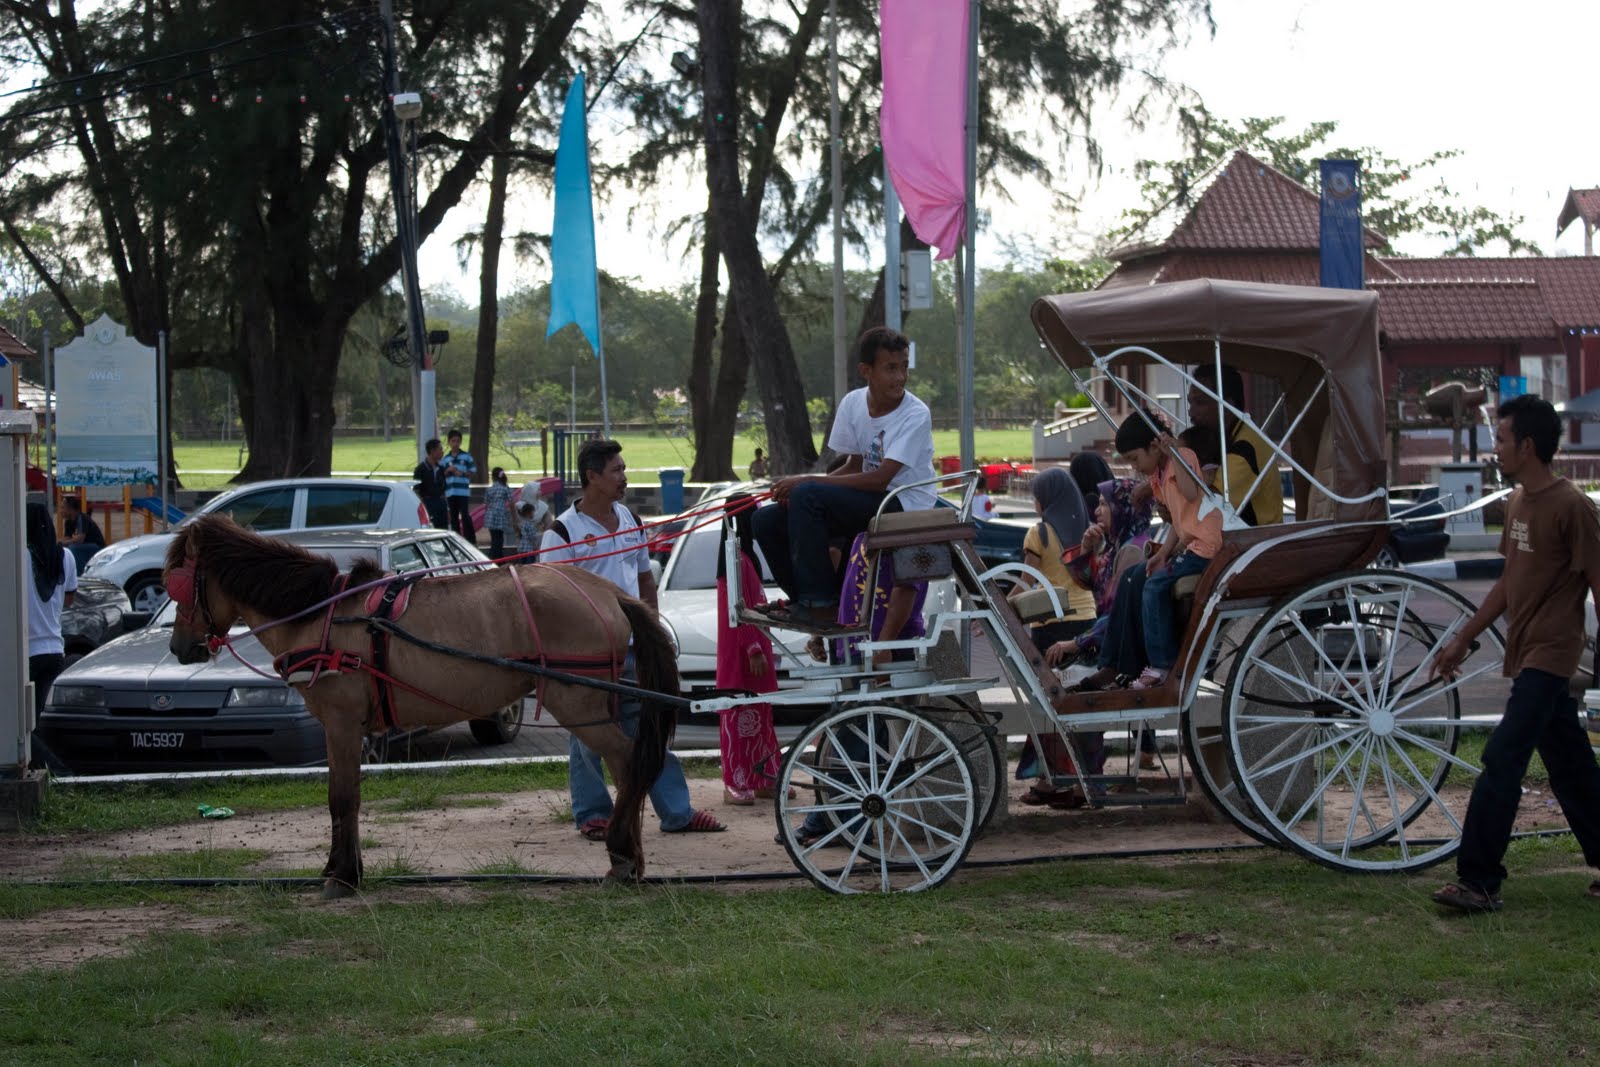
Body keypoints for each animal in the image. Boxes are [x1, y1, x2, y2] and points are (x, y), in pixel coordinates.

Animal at [165, 511, 678, 895]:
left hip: (579, 703)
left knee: (627, 759)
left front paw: (342, 877)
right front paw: (342, 869)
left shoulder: (341, 723)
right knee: (629, 764)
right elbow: (343, 796)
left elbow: (342, 797)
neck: (320, 615)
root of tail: (608, 593)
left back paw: (622, 856)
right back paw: (629, 857)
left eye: (178, 583)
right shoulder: (342, 729)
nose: (179, 647)